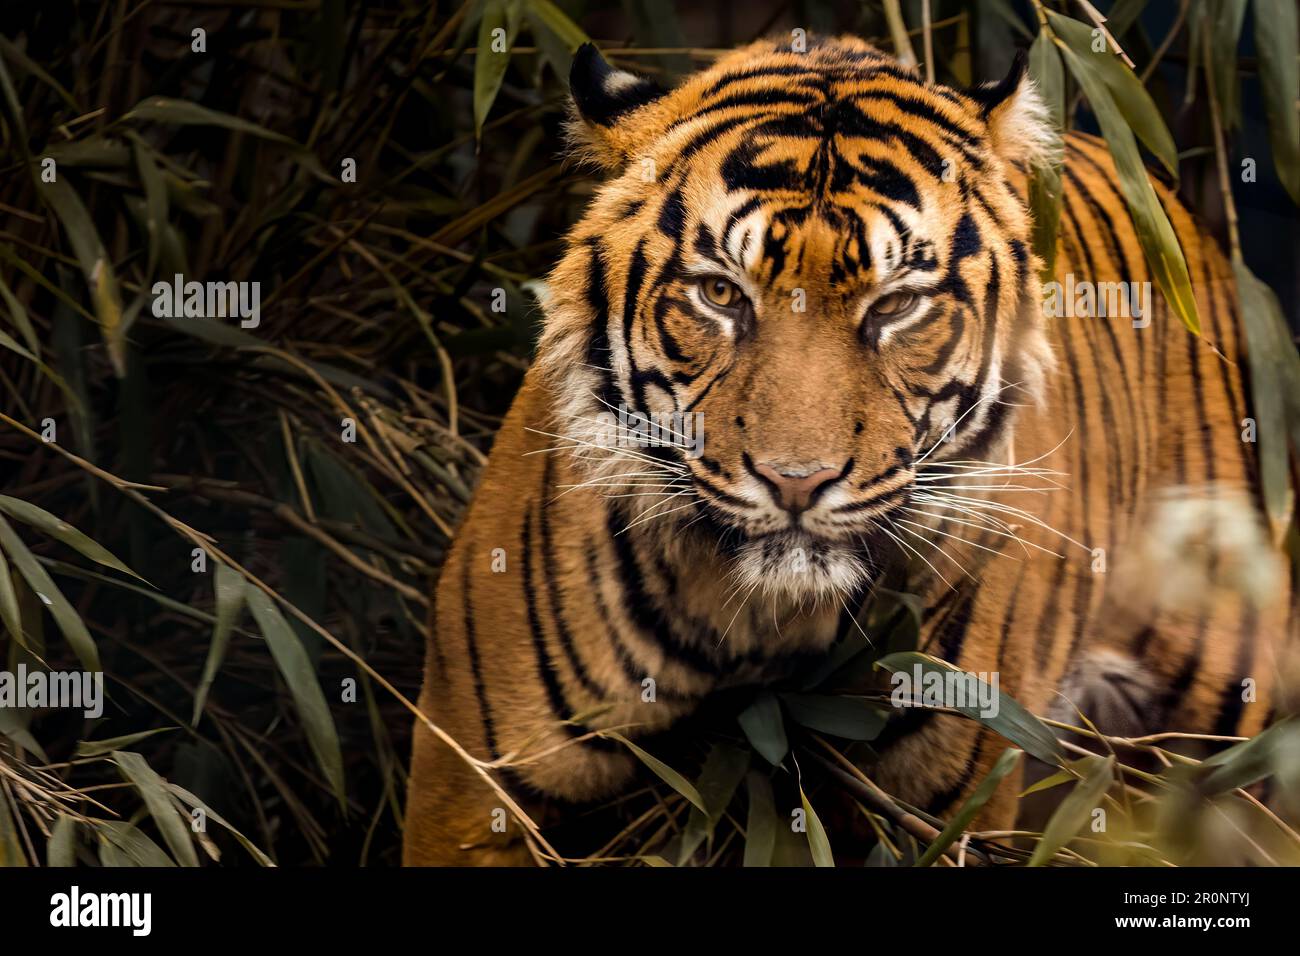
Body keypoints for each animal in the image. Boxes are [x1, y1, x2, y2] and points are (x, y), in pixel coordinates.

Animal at [403, 35, 1289, 868]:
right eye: (719, 292)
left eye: (896, 306)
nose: (797, 482)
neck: (761, 623)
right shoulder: (469, 786)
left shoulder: (938, 813)